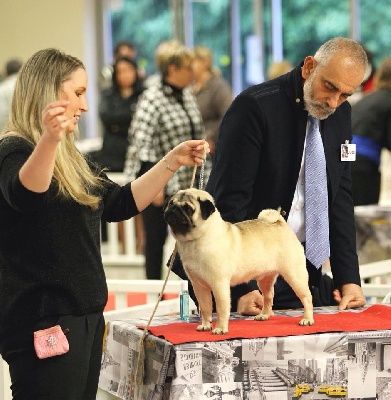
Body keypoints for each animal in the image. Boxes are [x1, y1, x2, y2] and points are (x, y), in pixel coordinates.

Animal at [165, 188, 316, 334]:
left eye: (188, 209)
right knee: (268, 296)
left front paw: (220, 328)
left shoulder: (219, 285)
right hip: (265, 279)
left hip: (295, 275)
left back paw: (307, 319)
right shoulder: (199, 287)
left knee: (307, 298)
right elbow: (206, 308)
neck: (196, 240)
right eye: (171, 203)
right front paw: (206, 325)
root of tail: (280, 223)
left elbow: (221, 309)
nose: (173, 209)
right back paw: (264, 315)